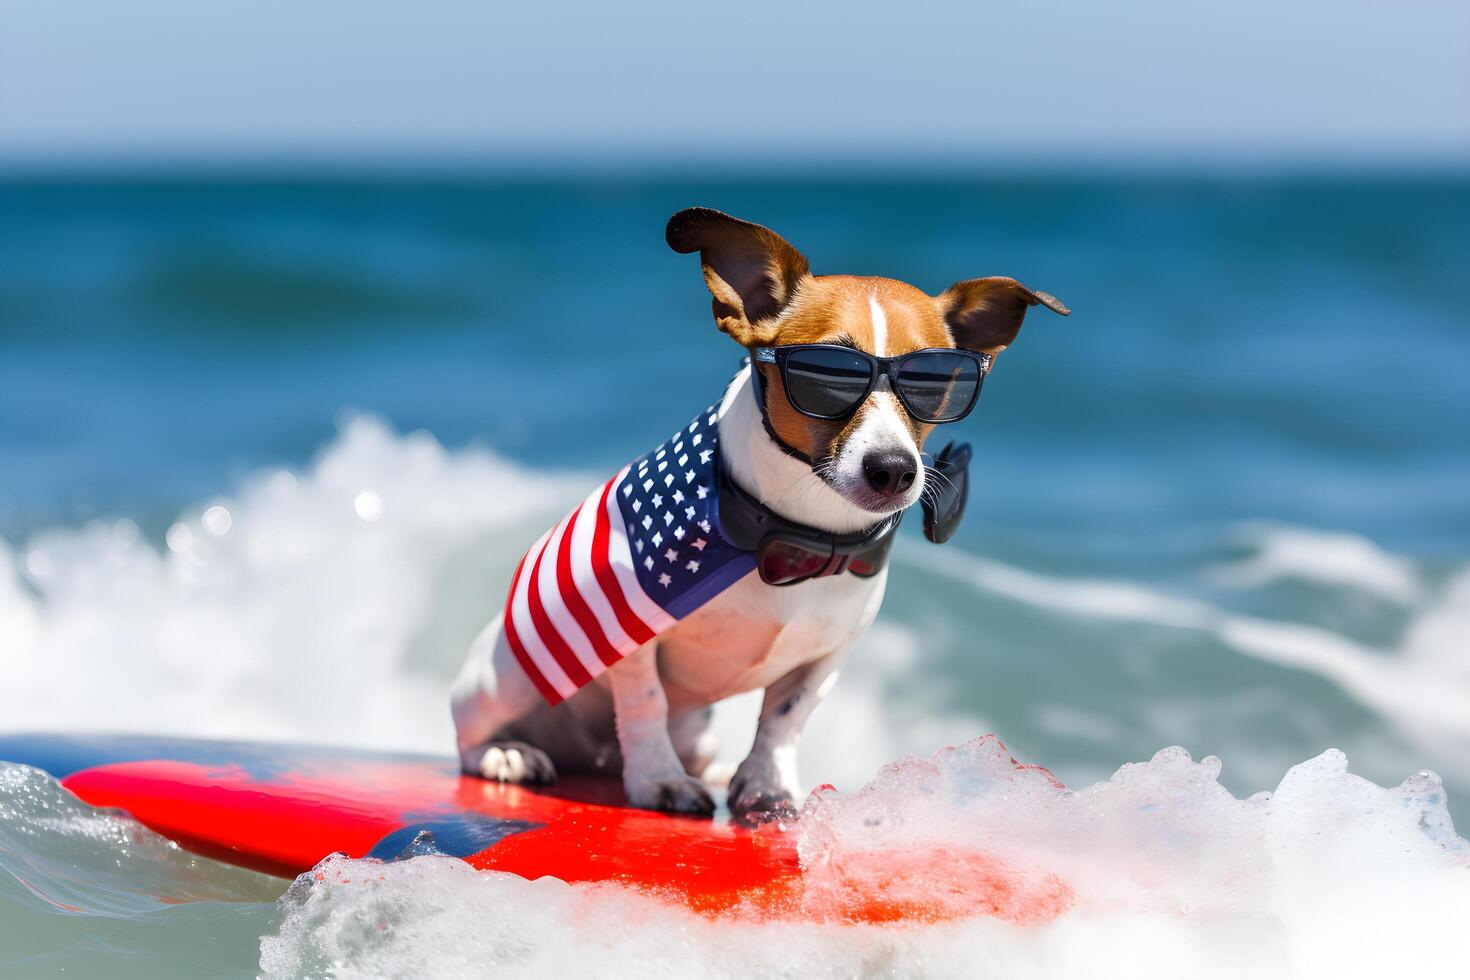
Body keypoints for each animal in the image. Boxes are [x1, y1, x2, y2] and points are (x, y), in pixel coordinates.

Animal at [446, 207, 1070, 822]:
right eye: (827, 375)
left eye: (935, 383)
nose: (894, 469)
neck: (801, 533)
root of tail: (585, 756)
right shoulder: (630, 627)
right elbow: (645, 705)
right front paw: (659, 781)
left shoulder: (828, 652)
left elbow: (786, 717)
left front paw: (766, 784)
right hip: (505, 680)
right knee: (470, 736)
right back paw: (509, 754)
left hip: (697, 731)